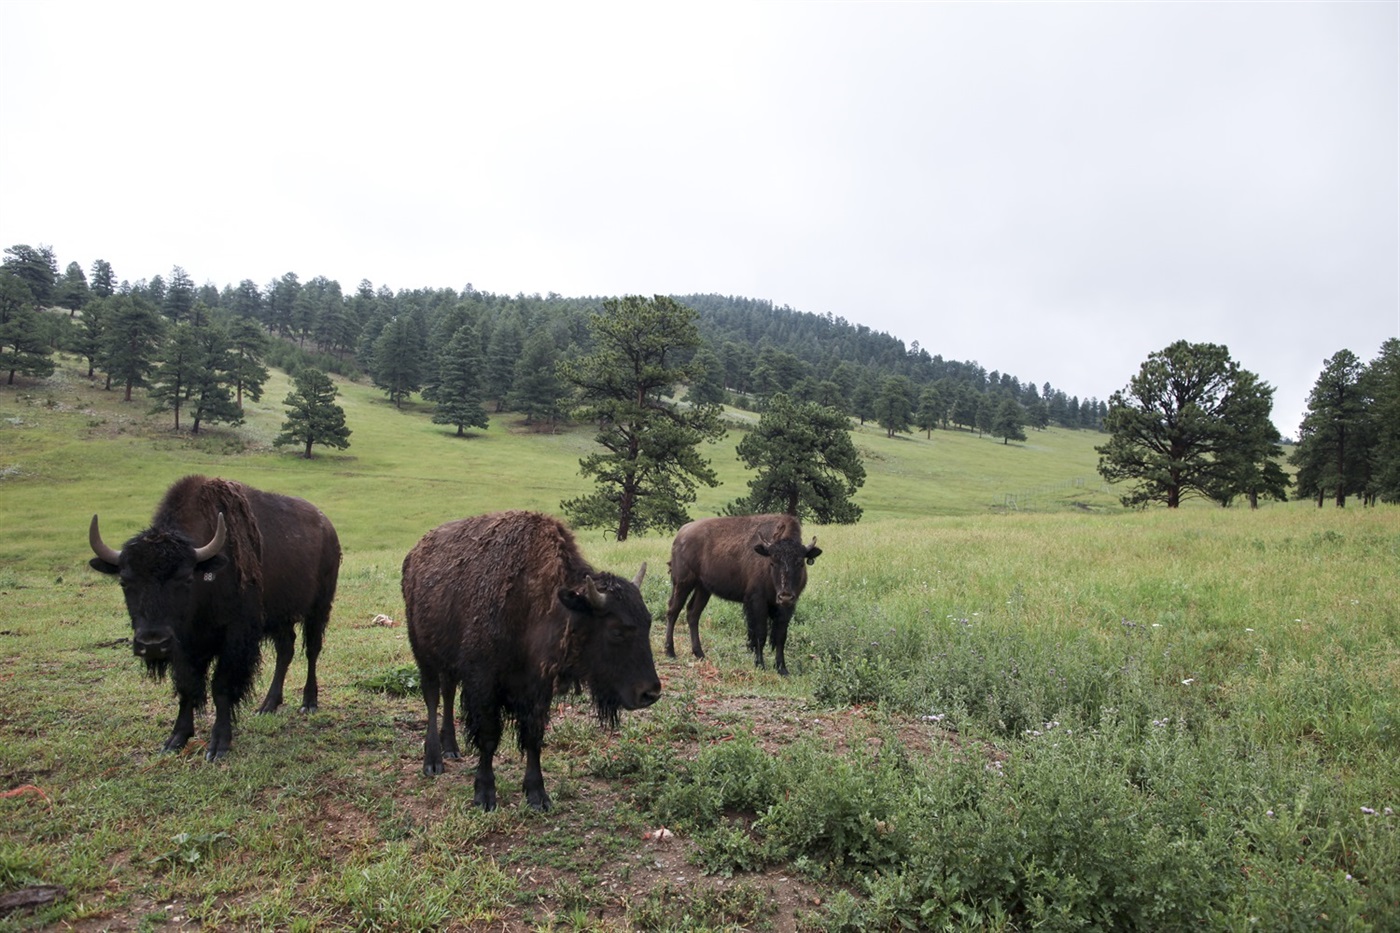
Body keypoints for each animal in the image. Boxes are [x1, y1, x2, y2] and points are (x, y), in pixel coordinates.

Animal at [88, 475, 341, 759]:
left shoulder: (235, 637)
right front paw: (176, 739)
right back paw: (268, 705)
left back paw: (309, 702)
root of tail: (327, 528)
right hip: (280, 618)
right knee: (285, 651)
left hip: (318, 608)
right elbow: (187, 686)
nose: (152, 644)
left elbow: (221, 686)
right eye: (124, 581)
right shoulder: (184, 646)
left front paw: (219, 744)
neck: (206, 574)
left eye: (186, 579)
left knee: (312, 651)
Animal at [402, 510, 661, 811]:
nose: (650, 693)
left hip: (448, 662)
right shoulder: (483, 682)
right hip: (424, 654)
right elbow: (489, 737)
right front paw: (485, 794)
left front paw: (538, 795)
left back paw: (451, 748)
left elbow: (533, 736)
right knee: (432, 697)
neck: (533, 604)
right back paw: (433, 761)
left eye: (648, 622)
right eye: (616, 631)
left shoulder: (537, 687)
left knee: (447, 692)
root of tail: (413, 556)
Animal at [665, 513, 821, 676]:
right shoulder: (758, 602)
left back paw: (700, 654)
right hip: (683, 584)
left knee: (693, 613)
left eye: (800, 563)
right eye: (772, 562)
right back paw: (670, 652)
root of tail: (682, 533)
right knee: (673, 611)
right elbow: (760, 634)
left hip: (703, 589)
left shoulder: (787, 607)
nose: (785, 596)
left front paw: (782, 669)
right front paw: (760, 665)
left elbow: (780, 636)